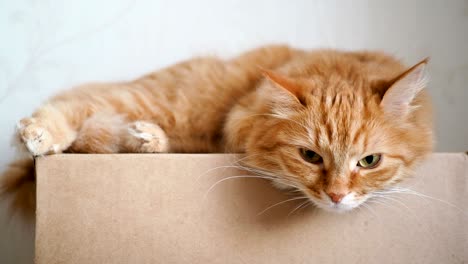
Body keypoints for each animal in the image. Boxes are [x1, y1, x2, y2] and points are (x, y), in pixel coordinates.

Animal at [0, 44, 434, 220]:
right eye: (310, 156)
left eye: (369, 161)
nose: (337, 197)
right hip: (170, 102)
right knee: (77, 104)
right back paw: (41, 133)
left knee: (94, 132)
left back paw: (143, 140)